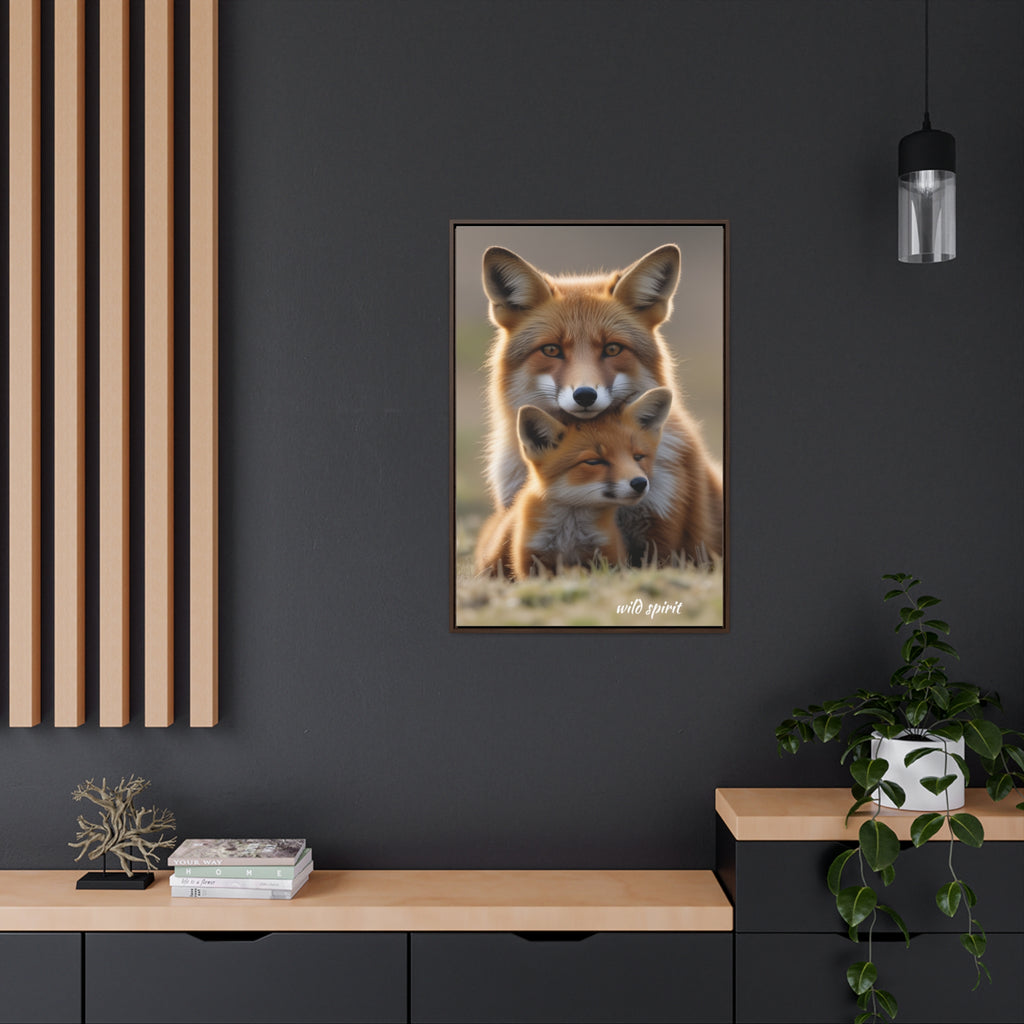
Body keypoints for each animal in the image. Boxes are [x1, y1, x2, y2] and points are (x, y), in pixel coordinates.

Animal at [475, 388, 673, 580]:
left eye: (638, 457)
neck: (569, 535)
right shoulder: (532, 559)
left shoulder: (607, 554)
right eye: (594, 461)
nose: (640, 483)